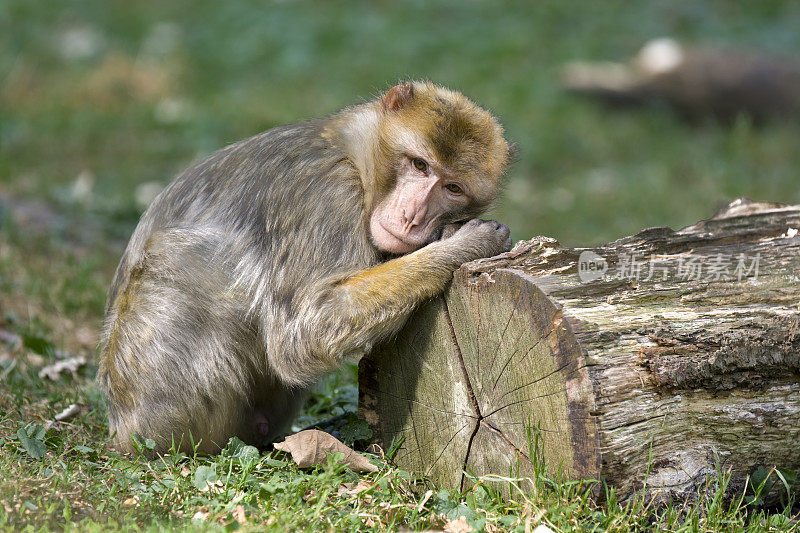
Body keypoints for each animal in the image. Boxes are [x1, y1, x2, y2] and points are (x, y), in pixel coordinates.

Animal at [98, 82, 512, 454]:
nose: (413, 218)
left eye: (453, 188)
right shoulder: (326, 191)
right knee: (181, 257)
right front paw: (464, 244)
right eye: (419, 164)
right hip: (162, 411)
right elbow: (305, 333)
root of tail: (119, 429)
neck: (353, 153)